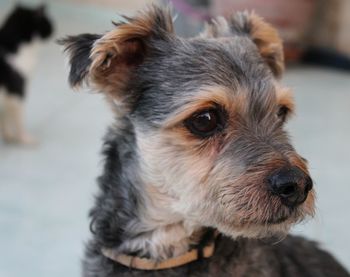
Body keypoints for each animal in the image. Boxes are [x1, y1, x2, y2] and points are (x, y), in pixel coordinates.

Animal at [0, 4, 52, 144]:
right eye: (48, 23)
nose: (53, 29)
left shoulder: (8, 96)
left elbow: (5, 117)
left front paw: (7, 135)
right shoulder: (17, 91)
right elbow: (18, 120)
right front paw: (24, 138)